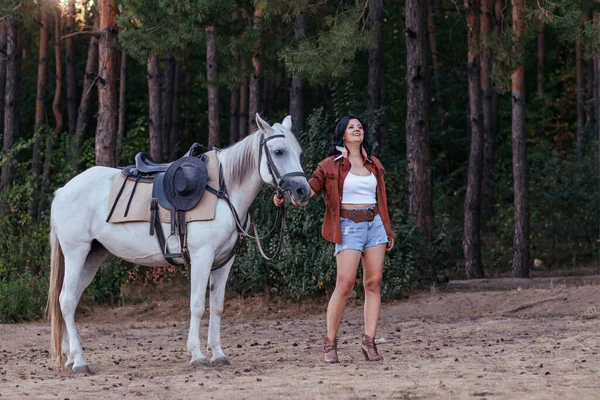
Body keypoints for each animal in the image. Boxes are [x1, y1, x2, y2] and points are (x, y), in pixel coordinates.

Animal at [47, 114, 310, 374]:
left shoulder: (224, 262)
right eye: (278, 152)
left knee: (69, 300)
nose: (303, 191)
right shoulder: (202, 257)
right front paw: (197, 356)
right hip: (76, 253)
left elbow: (217, 306)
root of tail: (62, 191)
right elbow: (197, 305)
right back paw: (79, 361)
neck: (222, 192)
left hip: (92, 257)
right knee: (66, 301)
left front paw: (218, 354)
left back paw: (70, 358)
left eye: (299, 152)